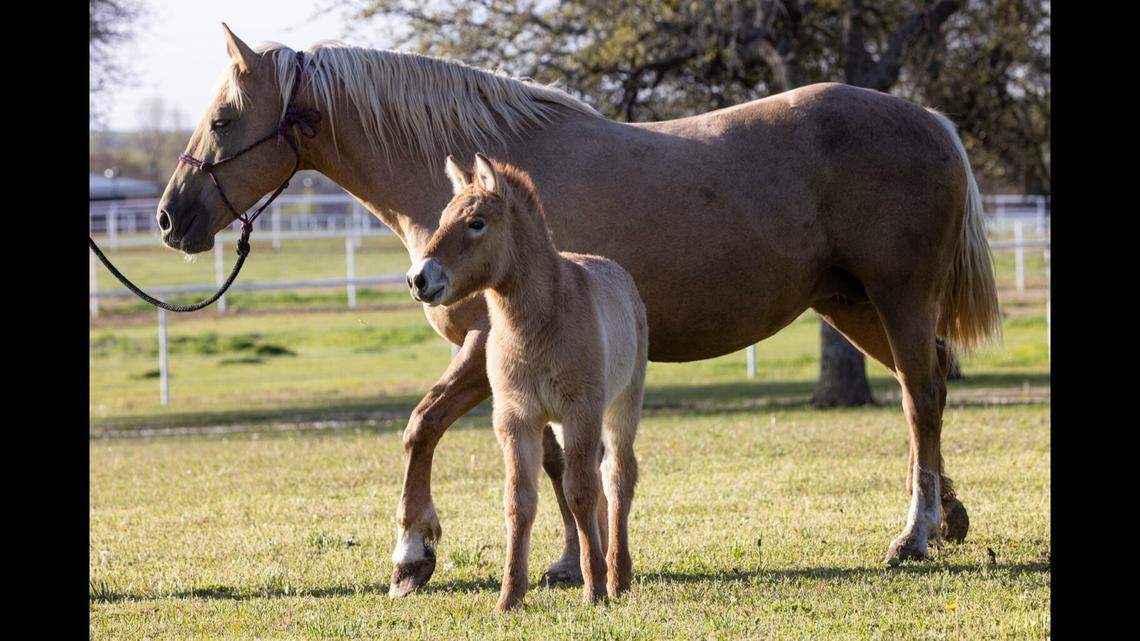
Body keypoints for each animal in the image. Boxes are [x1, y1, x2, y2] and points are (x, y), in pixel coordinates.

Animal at [408, 153, 647, 610]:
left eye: (477, 223)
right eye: (444, 218)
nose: (419, 279)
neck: (540, 322)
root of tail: (618, 272)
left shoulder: (581, 410)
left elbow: (580, 492)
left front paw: (594, 589)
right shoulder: (516, 418)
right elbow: (519, 500)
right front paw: (509, 596)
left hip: (621, 405)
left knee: (617, 475)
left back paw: (618, 574)